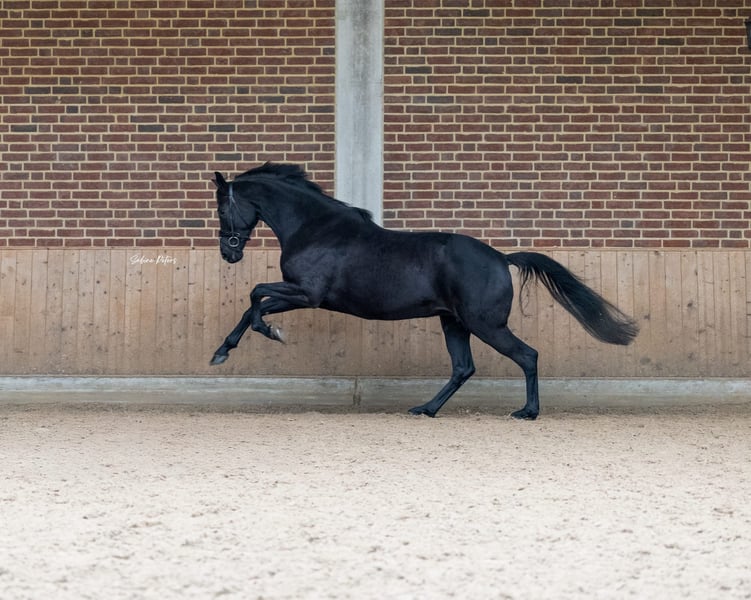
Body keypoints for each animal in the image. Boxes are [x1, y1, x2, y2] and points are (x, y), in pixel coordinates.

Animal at [210, 163, 638, 419]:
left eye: (221, 209)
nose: (228, 253)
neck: (315, 228)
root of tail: (501, 257)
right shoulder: (302, 297)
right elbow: (253, 303)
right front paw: (224, 351)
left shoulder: (307, 295)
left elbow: (255, 297)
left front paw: (263, 336)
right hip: (455, 323)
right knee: (463, 367)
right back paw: (425, 409)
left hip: (485, 325)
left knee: (527, 356)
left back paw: (526, 412)